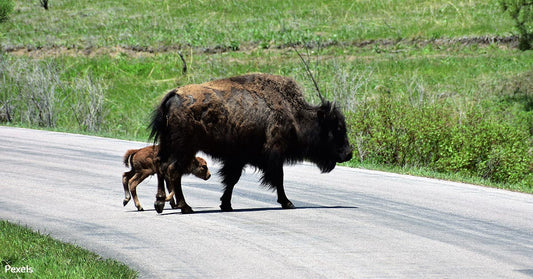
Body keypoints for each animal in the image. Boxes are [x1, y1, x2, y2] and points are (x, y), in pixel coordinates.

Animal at [148, 72, 352, 214]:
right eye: (337, 129)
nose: (348, 153)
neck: (293, 114)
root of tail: (174, 95)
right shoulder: (274, 154)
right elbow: (278, 178)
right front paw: (288, 203)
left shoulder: (237, 159)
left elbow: (232, 180)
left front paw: (226, 205)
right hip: (184, 148)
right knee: (173, 170)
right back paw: (185, 207)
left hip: (168, 146)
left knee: (161, 165)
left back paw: (160, 203)